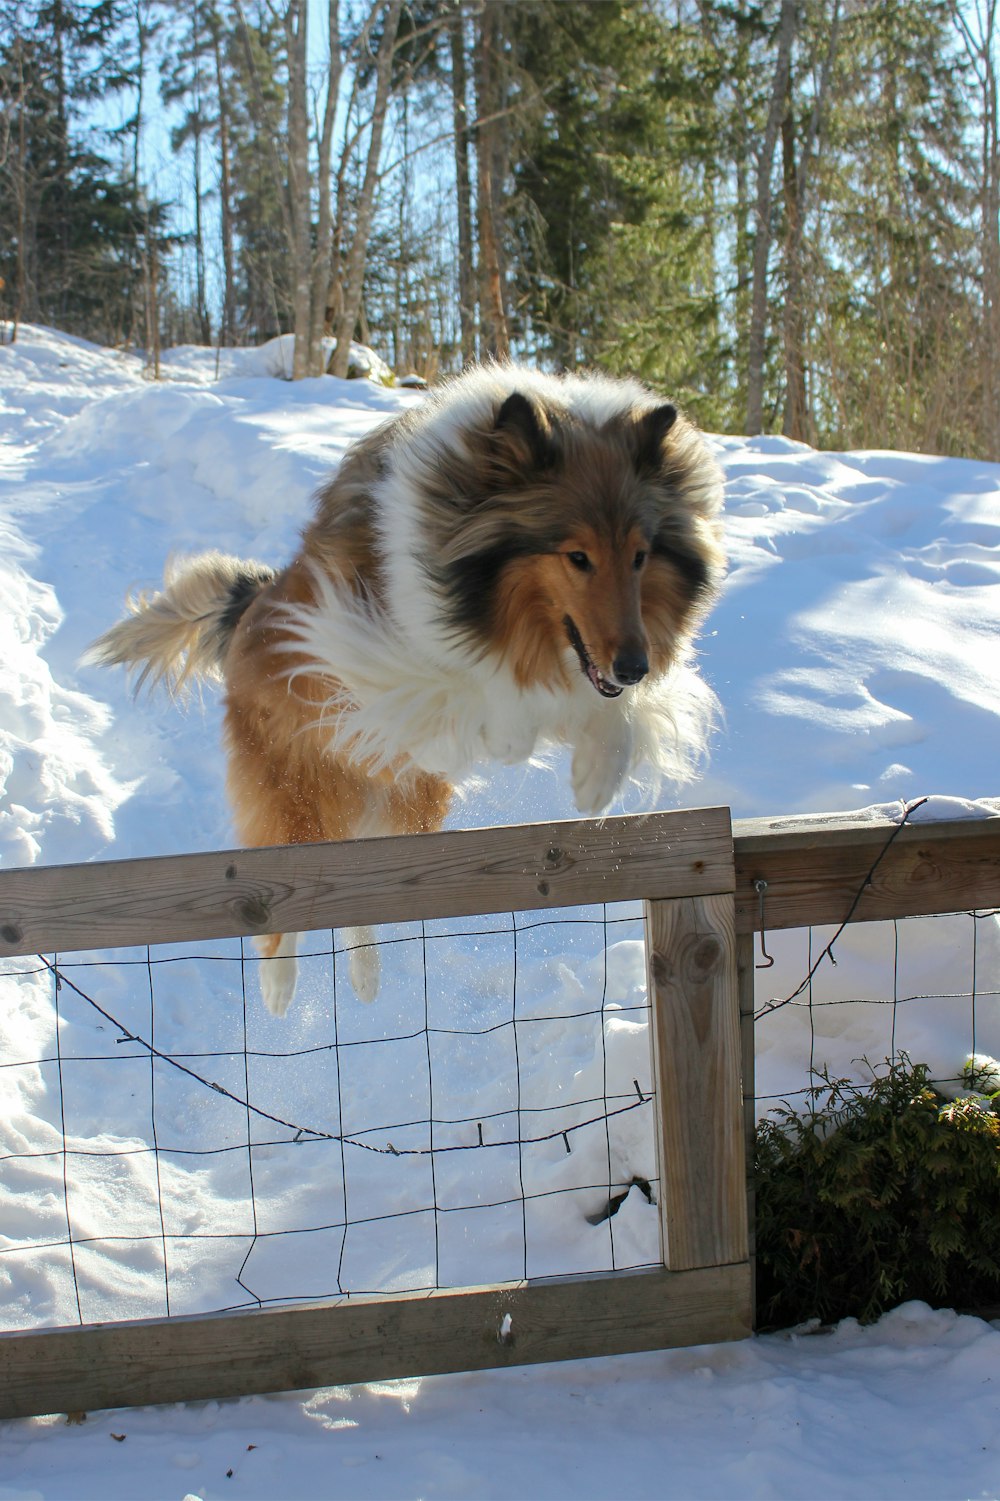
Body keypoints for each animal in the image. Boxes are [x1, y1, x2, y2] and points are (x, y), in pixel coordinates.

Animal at [87, 366, 717, 1020]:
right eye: (577, 556)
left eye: (641, 555)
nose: (636, 667)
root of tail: (252, 599)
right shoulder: (367, 652)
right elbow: (469, 696)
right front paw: (511, 735)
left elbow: (606, 715)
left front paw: (595, 780)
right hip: (293, 792)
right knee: (278, 893)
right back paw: (278, 986)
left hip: (402, 811)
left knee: (360, 891)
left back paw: (365, 977)